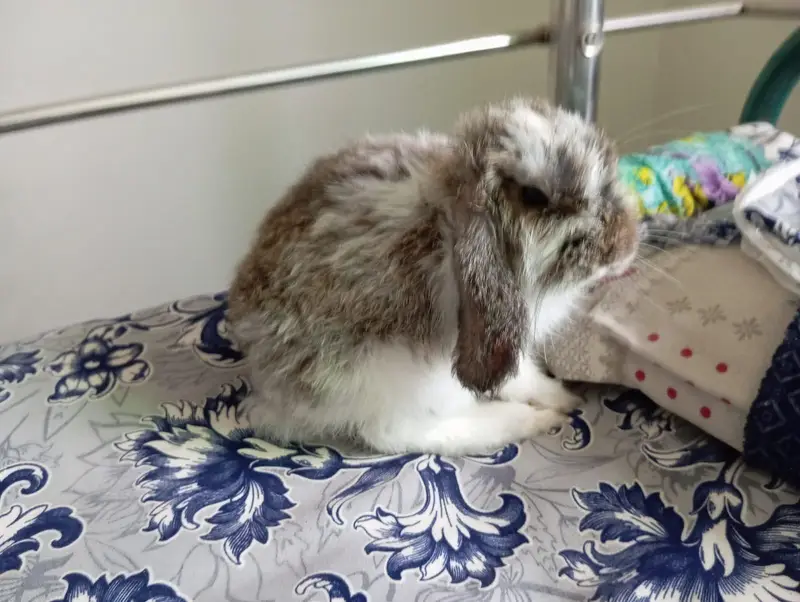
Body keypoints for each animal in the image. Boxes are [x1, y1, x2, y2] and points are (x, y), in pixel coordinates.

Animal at [227, 97, 639, 456]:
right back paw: (525, 420)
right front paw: (555, 407)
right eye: (534, 196)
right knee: (392, 434)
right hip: (384, 375)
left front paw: (564, 396)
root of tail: (272, 393)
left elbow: (523, 376)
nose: (626, 243)